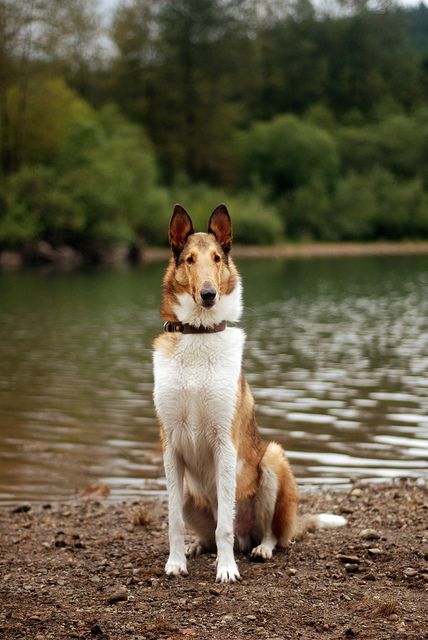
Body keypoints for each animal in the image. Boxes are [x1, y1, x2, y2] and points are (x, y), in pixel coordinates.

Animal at [152, 202, 346, 584]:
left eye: (216, 258)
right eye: (189, 260)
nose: (208, 295)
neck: (199, 335)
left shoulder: (224, 443)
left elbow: (224, 526)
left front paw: (227, 570)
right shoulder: (171, 447)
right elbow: (174, 522)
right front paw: (176, 563)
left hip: (272, 459)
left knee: (265, 533)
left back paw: (260, 549)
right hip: (189, 490)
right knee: (206, 531)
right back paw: (197, 547)